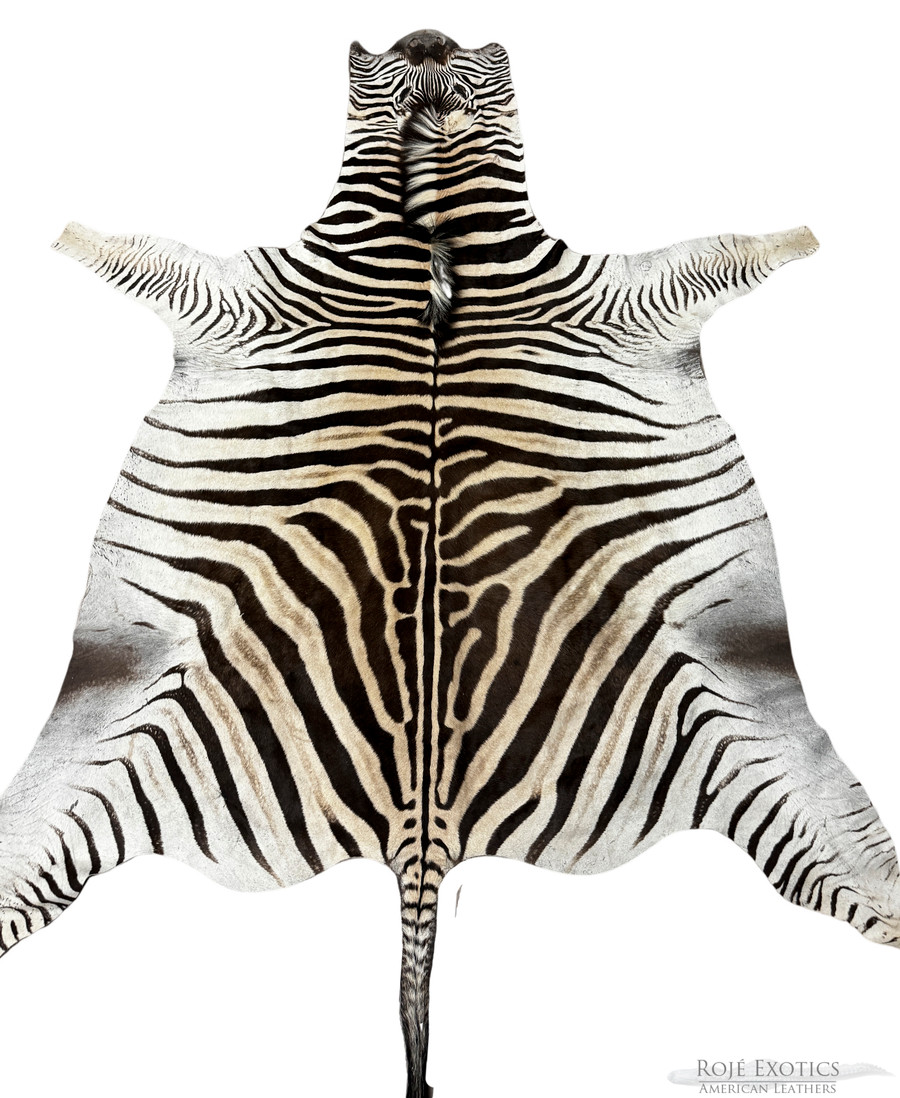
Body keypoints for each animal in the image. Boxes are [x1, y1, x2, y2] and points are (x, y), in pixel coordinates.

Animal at [1, 26, 897, 1097]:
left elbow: (729, 248)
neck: (432, 237)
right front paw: (64, 229)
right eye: (401, 56)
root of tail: (422, 839)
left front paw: (805, 233)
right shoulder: (246, 298)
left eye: (468, 55)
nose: (426, 35)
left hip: (744, 727)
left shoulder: (618, 297)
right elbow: (134, 251)